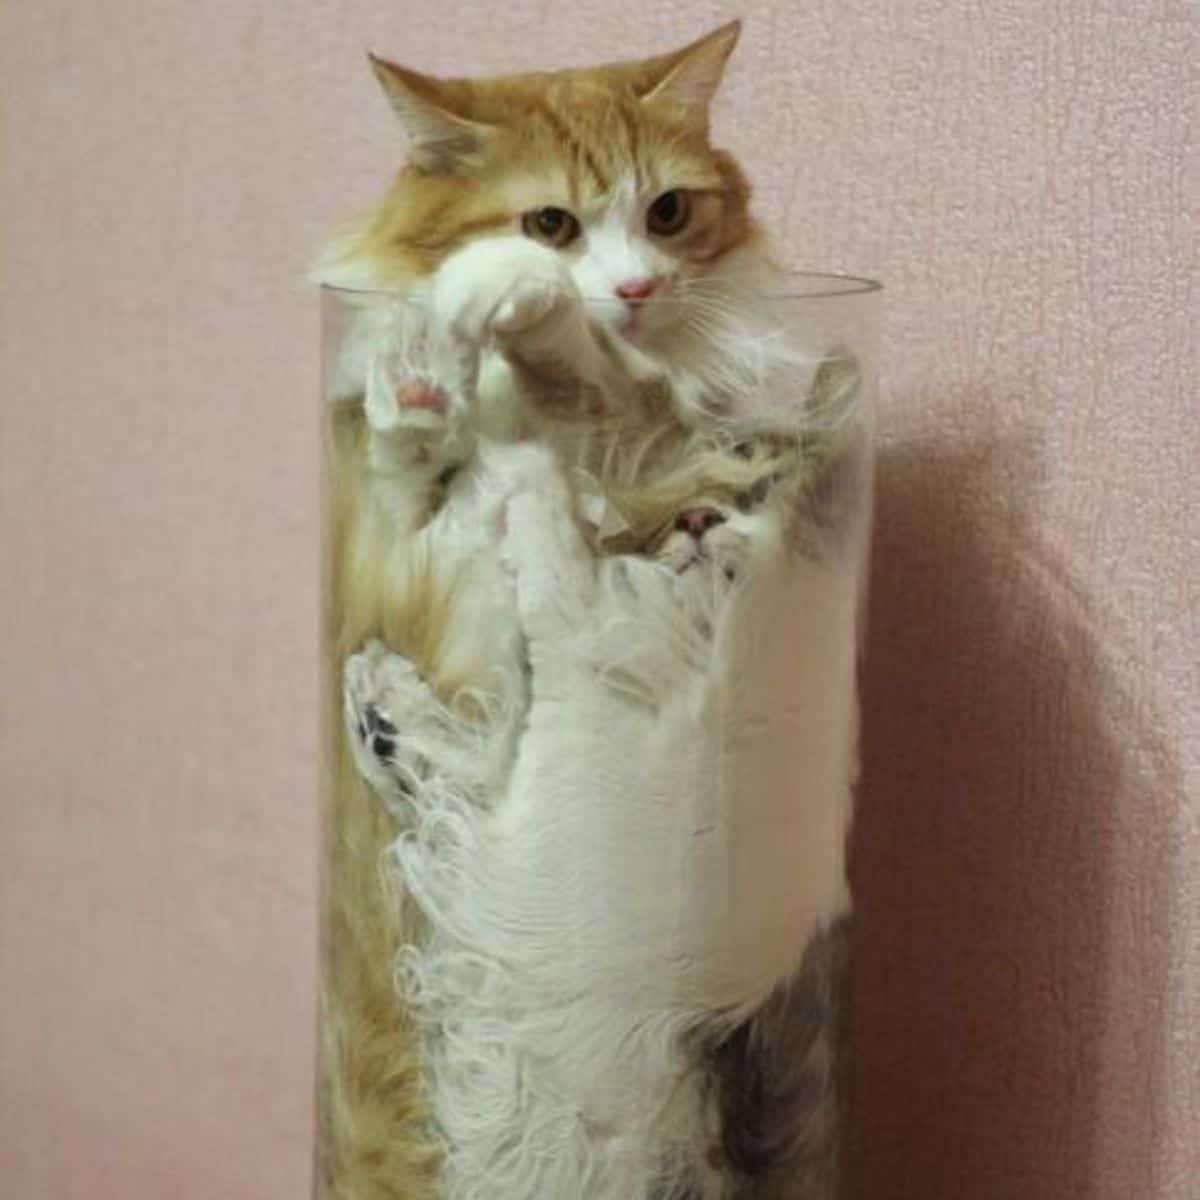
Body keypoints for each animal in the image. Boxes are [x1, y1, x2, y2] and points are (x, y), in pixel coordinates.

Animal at [314, 21, 868, 1200]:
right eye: (551, 221)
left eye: (670, 212)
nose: (636, 286)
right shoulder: (420, 541)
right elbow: (428, 470)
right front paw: (431, 371)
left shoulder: (589, 661)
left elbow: (546, 492)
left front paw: (518, 343)